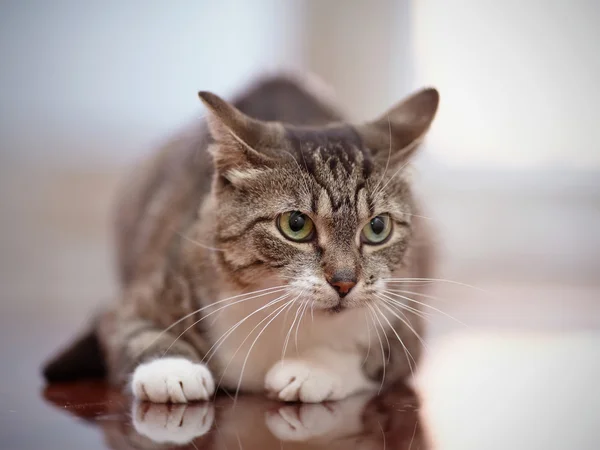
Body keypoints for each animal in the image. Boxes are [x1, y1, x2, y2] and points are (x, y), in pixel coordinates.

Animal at [41, 74, 436, 404]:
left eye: (378, 228)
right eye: (296, 224)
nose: (344, 282)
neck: (281, 313)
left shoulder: (407, 322)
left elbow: (373, 357)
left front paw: (313, 368)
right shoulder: (143, 292)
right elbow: (134, 329)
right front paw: (171, 370)